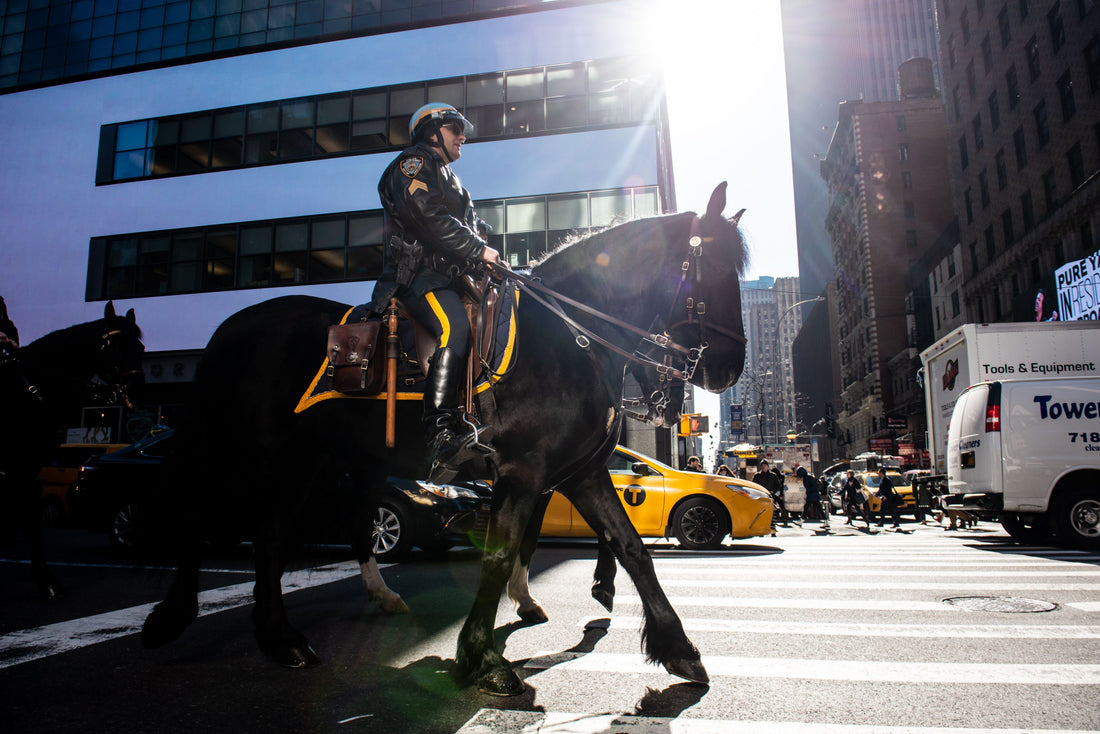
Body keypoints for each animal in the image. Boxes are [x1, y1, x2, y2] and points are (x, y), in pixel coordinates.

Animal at [0, 301, 144, 598]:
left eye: (141, 347)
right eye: (115, 344)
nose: (138, 392)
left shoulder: (28, 462)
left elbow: (28, 511)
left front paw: (46, 580)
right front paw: (46, 581)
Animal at [141, 182, 752, 695]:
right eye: (717, 269)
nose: (726, 369)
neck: (567, 336)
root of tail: (229, 327)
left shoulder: (578, 473)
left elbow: (632, 549)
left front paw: (679, 648)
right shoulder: (524, 472)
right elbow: (502, 554)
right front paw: (481, 657)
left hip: (304, 461)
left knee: (269, 537)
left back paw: (282, 639)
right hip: (248, 453)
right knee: (201, 518)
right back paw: (175, 619)